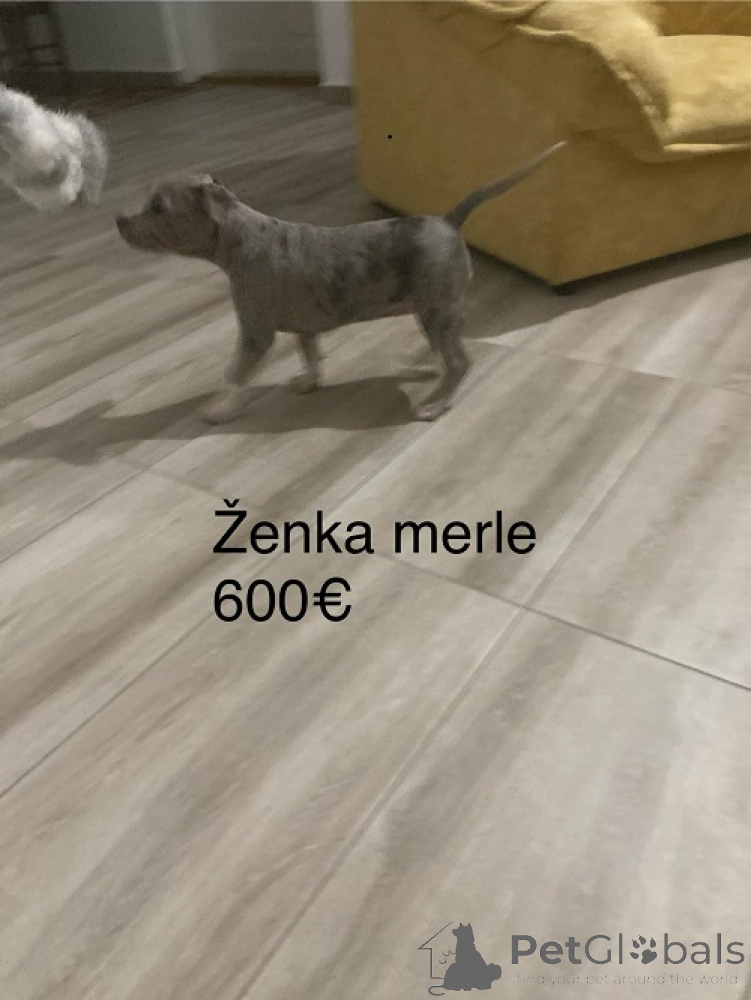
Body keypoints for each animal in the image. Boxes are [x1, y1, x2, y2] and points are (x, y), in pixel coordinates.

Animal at [116, 141, 563, 423]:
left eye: (158, 207)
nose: (118, 220)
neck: (241, 234)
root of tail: (448, 220)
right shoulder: (305, 323)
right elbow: (311, 353)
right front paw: (309, 381)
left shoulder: (255, 331)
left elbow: (237, 371)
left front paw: (221, 409)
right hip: (435, 311)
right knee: (448, 353)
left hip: (436, 308)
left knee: (460, 363)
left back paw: (435, 405)